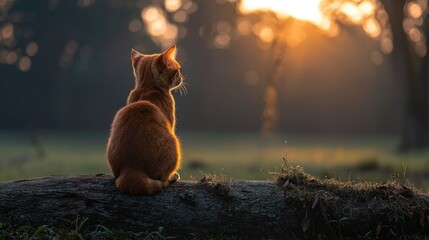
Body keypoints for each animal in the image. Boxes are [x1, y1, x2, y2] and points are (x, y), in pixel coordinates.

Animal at [107, 45, 184, 195]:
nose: (181, 77)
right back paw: (172, 176)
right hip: (174, 143)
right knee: (162, 178)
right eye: (177, 70)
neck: (147, 88)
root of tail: (132, 168)